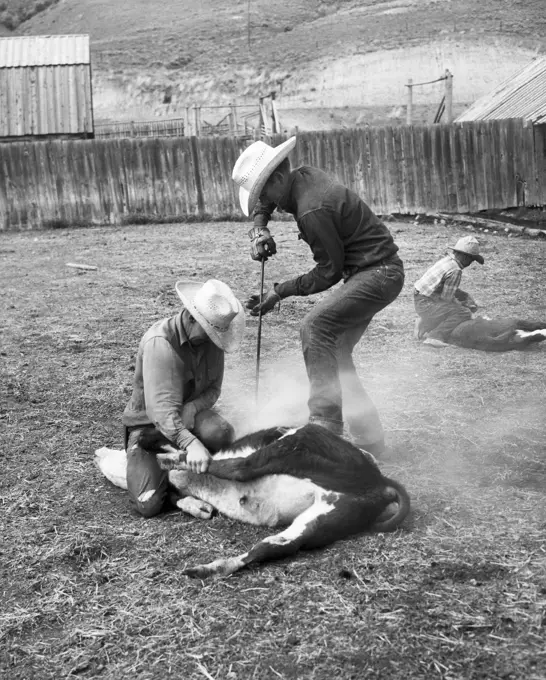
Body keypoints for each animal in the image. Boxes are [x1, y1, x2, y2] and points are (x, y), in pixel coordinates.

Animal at [94, 424, 408, 580]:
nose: (98, 452)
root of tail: (379, 481)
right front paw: (198, 506)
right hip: (326, 517)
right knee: (271, 547)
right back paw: (208, 570)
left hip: (295, 443)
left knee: (235, 467)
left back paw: (173, 460)